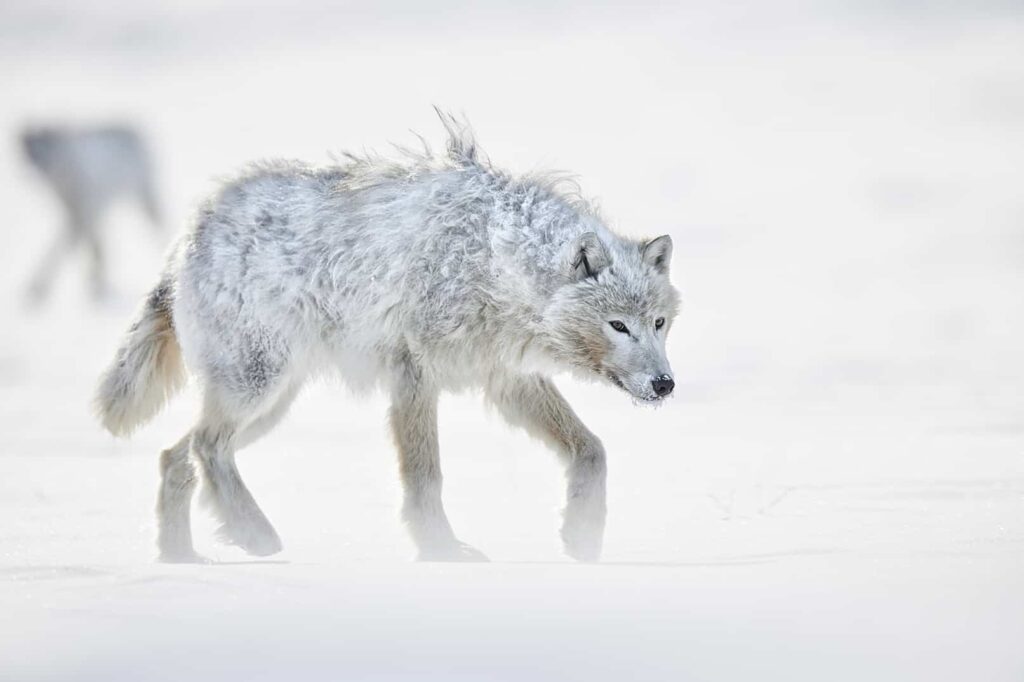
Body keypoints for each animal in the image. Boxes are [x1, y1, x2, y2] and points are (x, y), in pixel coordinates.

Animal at [20, 124, 161, 301]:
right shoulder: (77, 213)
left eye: (45, 148)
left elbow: (60, 249)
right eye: (29, 152)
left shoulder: (81, 215)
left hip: (144, 196)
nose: (36, 166)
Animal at [96, 114, 679, 561]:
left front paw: (582, 539)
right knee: (203, 446)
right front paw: (441, 551)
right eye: (618, 325)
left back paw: (181, 562)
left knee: (175, 456)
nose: (665, 384)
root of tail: (187, 236)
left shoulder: (506, 379)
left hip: (269, 406)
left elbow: (592, 450)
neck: (494, 259)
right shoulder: (414, 376)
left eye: (657, 323)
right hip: (256, 391)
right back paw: (256, 536)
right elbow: (425, 475)